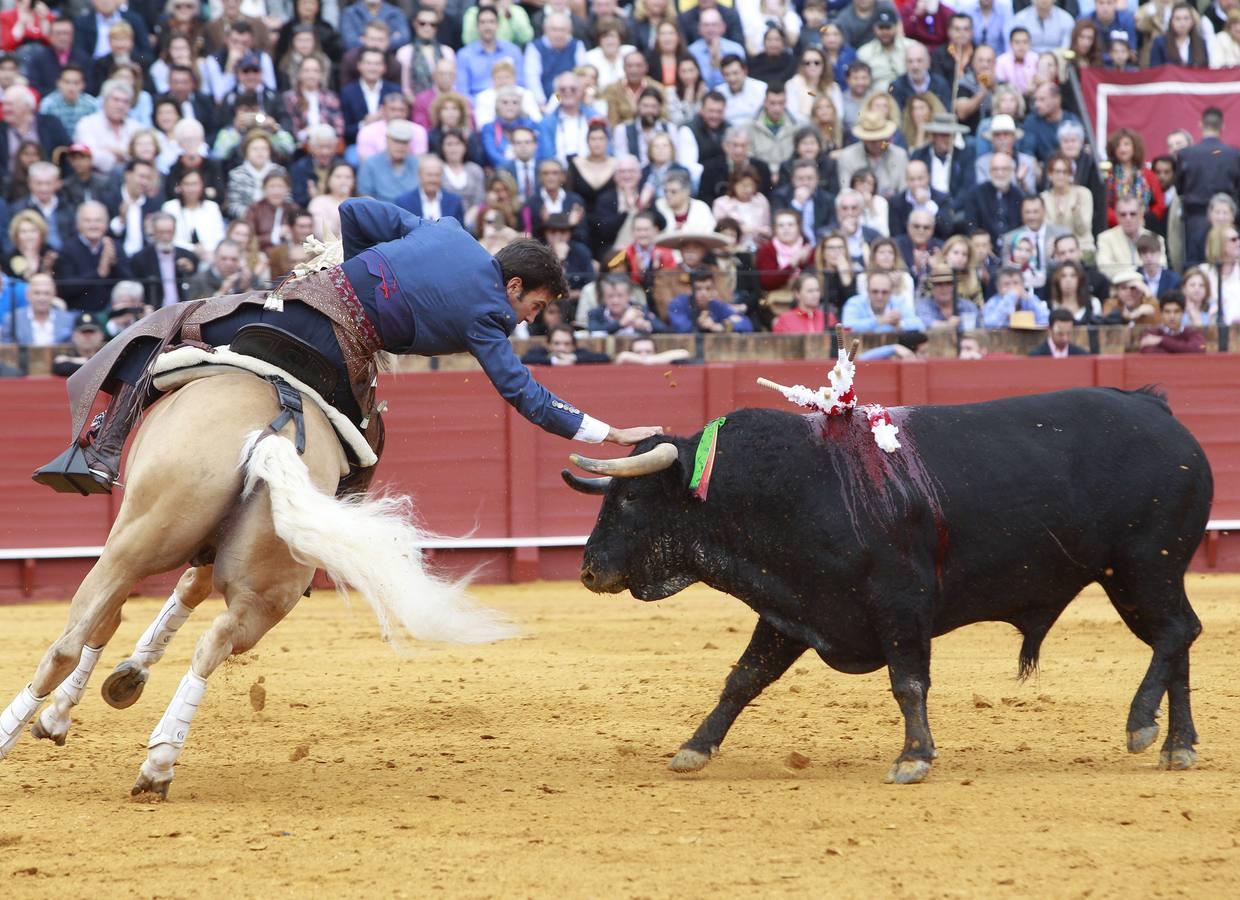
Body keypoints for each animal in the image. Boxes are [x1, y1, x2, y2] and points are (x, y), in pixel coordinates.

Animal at [0, 371, 513, 798]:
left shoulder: (129, 546)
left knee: (70, 643)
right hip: (266, 587)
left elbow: (108, 622)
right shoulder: (208, 554)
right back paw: (161, 762)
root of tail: (274, 436)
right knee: (218, 638)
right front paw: (130, 675)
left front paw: (58, 716)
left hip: (132, 544)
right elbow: (184, 592)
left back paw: (19, 735)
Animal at [562, 386, 1210, 783]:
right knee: (1178, 638)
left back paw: (1141, 726)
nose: (588, 570)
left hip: (1143, 567)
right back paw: (1178, 745)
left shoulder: (900, 602)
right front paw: (693, 749)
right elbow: (743, 679)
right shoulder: (793, 607)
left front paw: (913, 758)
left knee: (1176, 633)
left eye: (631, 498)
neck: (783, 485)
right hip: (1146, 576)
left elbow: (908, 682)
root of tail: (1159, 412)